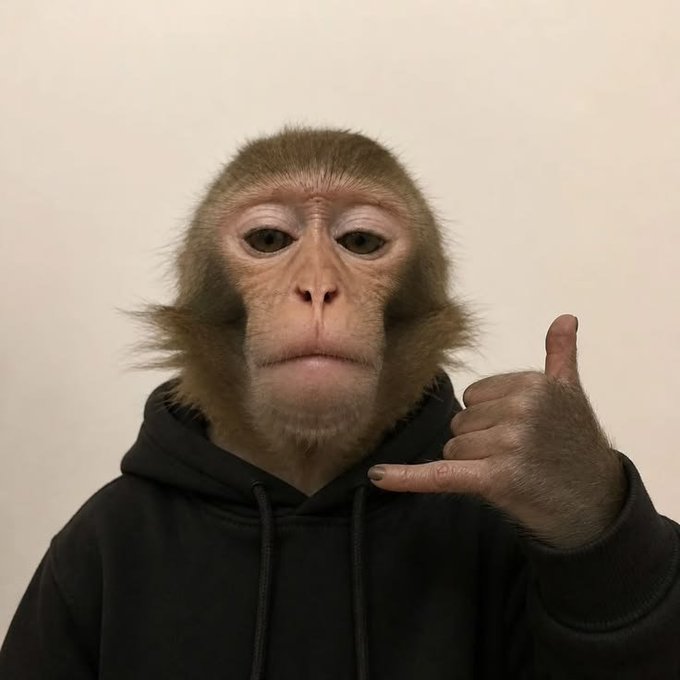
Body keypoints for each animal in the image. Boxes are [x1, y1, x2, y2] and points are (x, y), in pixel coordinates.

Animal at [1, 127, 679, 680]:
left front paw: (555, 465)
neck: (303, 487)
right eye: (269, 239)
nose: (318, 288)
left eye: (360, 242)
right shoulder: (67, 561)